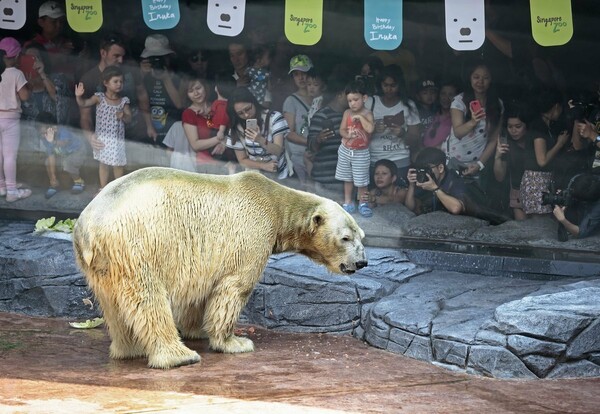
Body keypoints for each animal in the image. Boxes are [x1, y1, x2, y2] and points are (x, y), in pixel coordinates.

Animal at [73, 167, 368, 368]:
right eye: (346, 238)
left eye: (362, 236)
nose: (362, 262)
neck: (276, 203)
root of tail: (89, 227)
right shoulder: (252, 233)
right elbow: (234, 288)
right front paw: (234, 341)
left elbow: (197, 291)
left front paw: (196, 329)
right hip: (138, 244)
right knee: (148, 299)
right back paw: (179, 355)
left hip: (103, 265)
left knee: (112, 303)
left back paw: (129, 348)